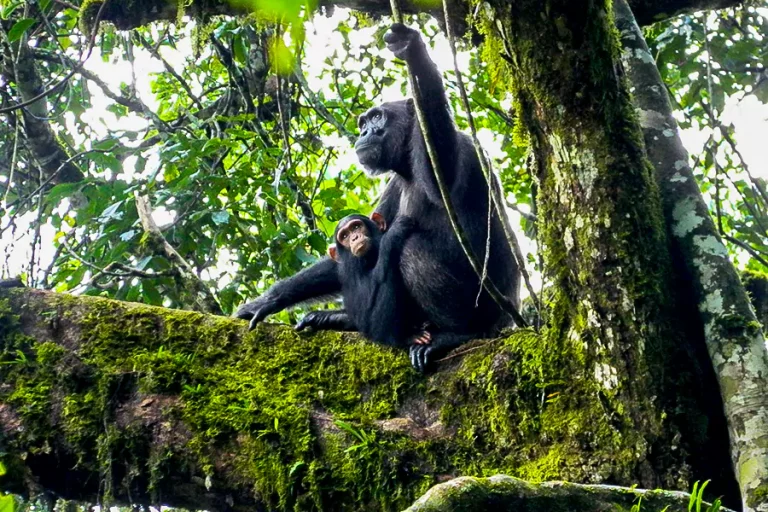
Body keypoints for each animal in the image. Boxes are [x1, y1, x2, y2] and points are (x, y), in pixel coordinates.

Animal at [296, 212, 432, 348]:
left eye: (356, 227)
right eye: (344, 236)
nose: (354, 237)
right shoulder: (351, 275)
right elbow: (369, 320)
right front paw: (393, 233)